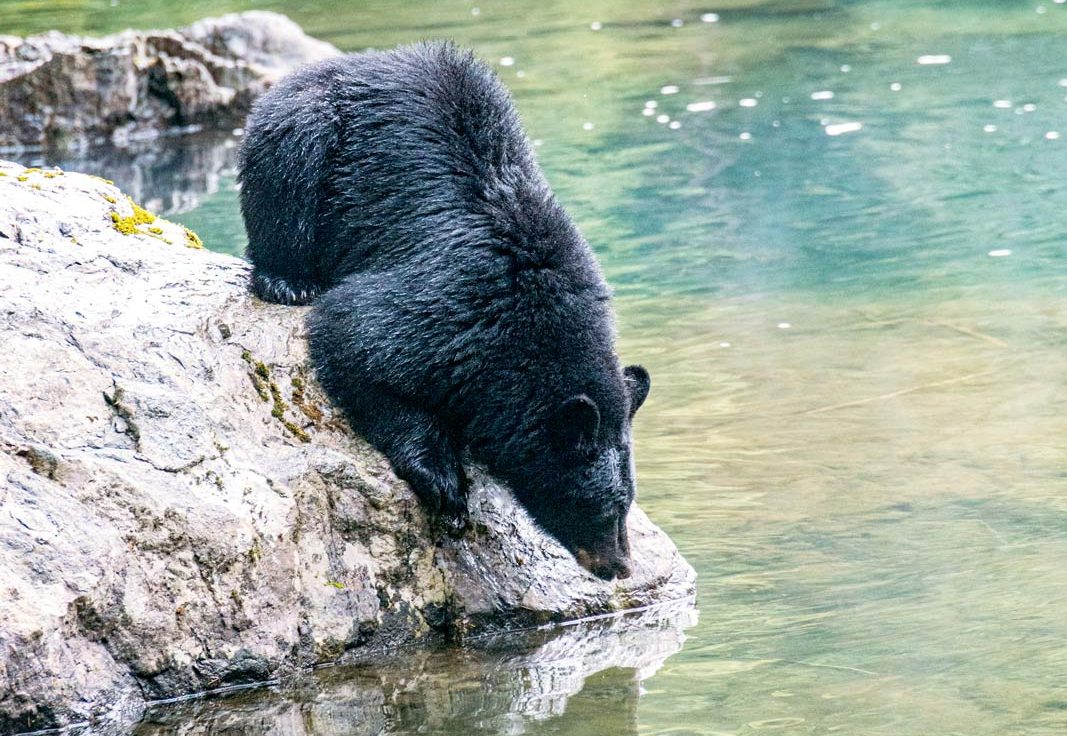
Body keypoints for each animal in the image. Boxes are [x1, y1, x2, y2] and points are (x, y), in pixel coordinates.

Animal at [238, 41, 650, 580]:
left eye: (627, 505)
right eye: (603, 508)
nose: (619, 567)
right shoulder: (456, 303)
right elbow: (352, 336)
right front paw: (443, 482)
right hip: (302, 131)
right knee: (286, 182)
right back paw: (287, 282)